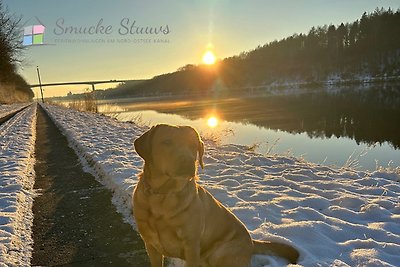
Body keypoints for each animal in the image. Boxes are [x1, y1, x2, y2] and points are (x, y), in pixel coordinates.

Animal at [133, 125, 298, 267]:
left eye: (193, 145)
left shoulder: (191, 246)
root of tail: (252, 242)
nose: (188, 162)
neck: (163, 194)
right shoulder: (150, 244)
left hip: (221, 253)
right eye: (167, 142)